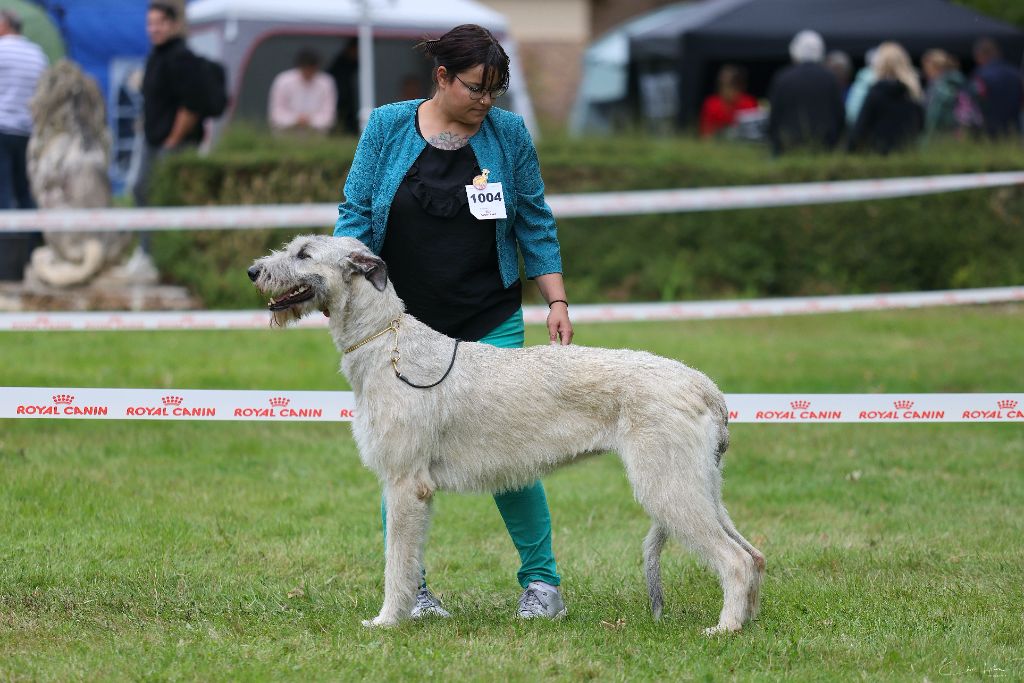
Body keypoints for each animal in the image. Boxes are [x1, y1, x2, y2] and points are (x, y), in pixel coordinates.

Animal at [247, 237, 765, 634]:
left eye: (304, 253)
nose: (253, 271)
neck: (385, 343)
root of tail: (705, 386)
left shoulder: (405, 485)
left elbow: (397, 562)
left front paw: (388, 622)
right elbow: (410, 560)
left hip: (667, 485)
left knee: (735, 560)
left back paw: (724, 629)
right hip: (699, 484)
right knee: (753, 555)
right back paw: (747, 623)